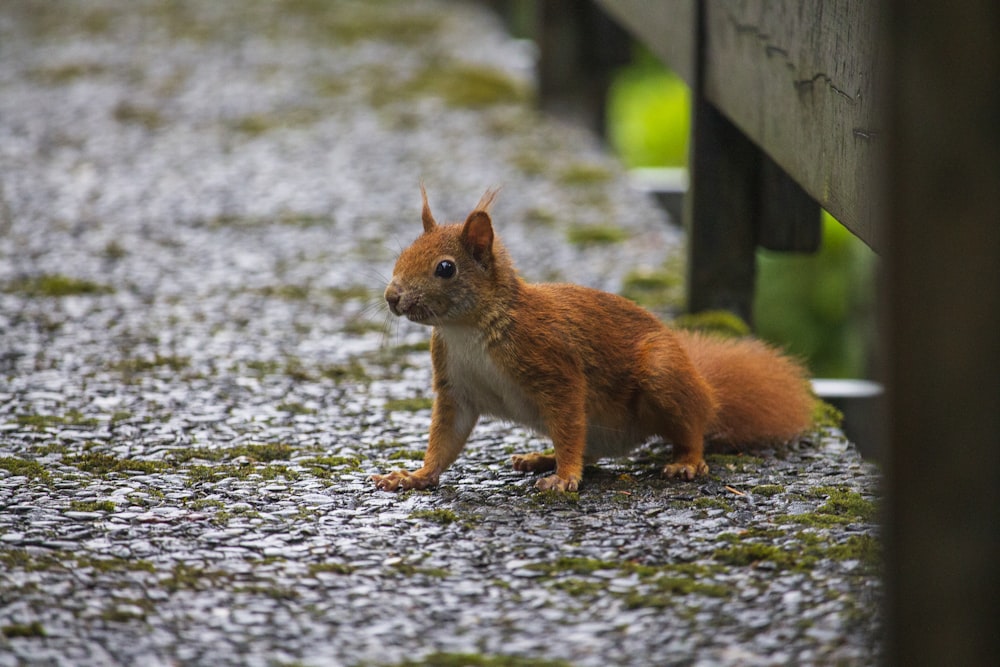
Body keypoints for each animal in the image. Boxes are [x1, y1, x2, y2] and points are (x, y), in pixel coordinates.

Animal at [372, 187, 816, 490]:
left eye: (445, 268)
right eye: (402, 254)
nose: (392, 296)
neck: (466, 329)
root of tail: (706, 386)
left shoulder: (554, 367)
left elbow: (569, 420)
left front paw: (566, 478)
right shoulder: (456, 387)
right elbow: (446, 439)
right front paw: (415, 475)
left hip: (662, 374)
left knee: (692, 426)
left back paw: (686, 460)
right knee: (592, 448)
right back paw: (541, 457)